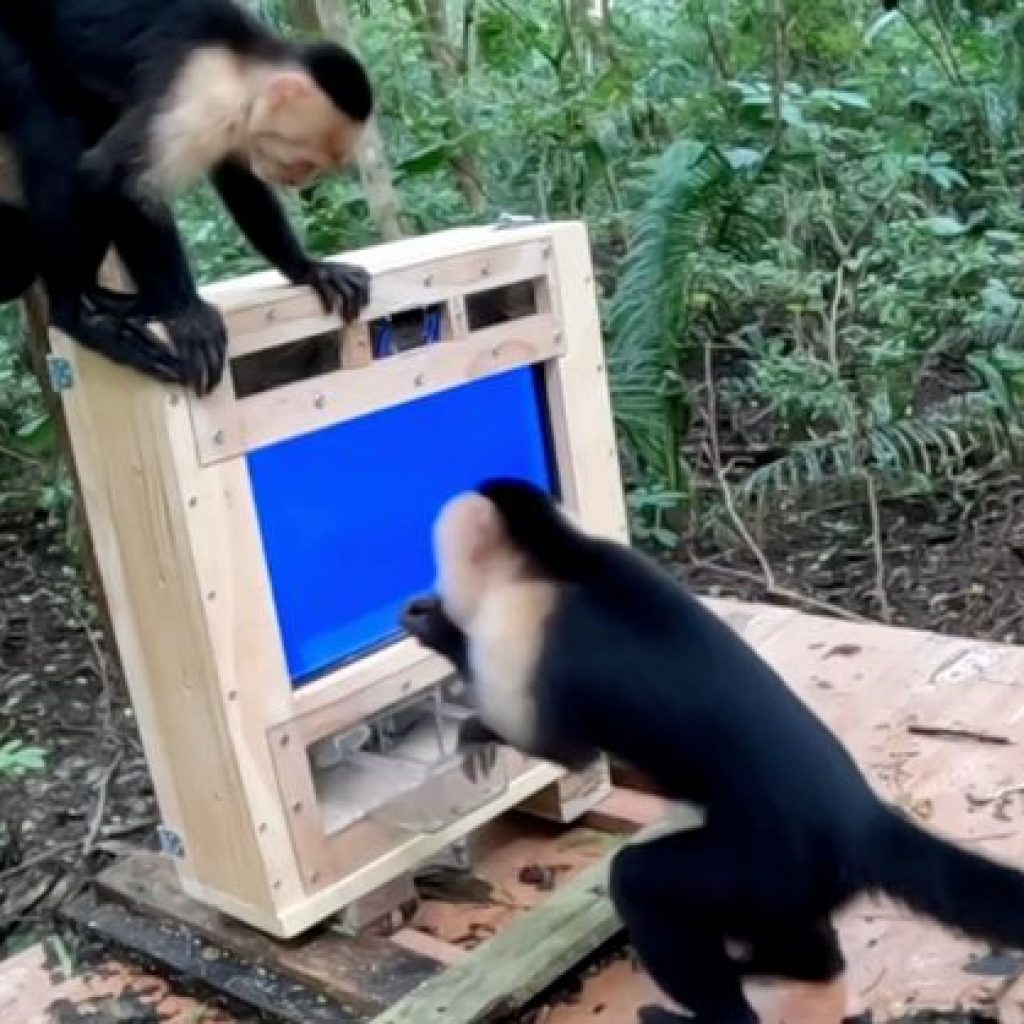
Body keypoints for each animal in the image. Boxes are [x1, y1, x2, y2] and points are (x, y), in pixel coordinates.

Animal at [0, 0, 373, 395]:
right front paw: (186, 314)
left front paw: (309, 269)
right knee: (57, 141)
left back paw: (112, 298)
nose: (297, 180)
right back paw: (74, 314)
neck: (241, 58)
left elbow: (240, 180)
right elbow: (114, 177)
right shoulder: (205, 95)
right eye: (305, 161)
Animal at [400, 477, 1024, 1024]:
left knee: (641, 882)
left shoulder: (518, 630)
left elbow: (558, 747)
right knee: (802, 942)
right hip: (792, 886)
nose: (435, 594)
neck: (562, 559)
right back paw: (792, 965)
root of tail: (862, 820)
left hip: (764, 865)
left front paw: (446, 647)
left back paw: (712, 1009)